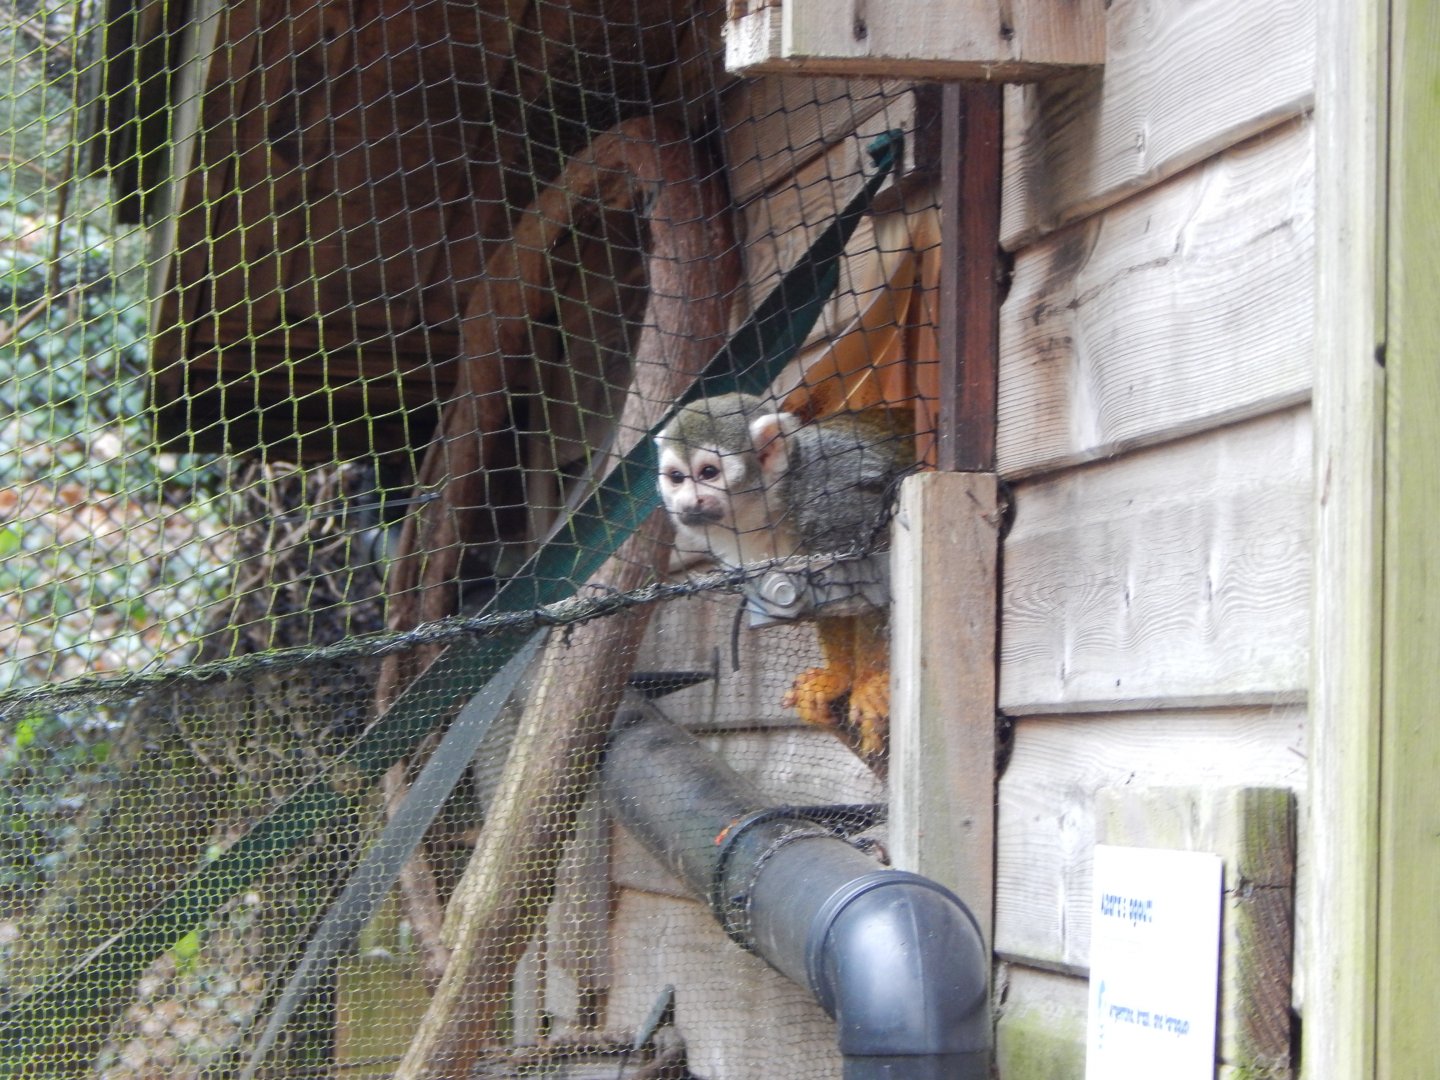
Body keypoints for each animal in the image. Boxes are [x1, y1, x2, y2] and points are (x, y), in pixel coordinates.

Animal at [655, 391, 913, 769]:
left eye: (708, 473)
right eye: (676, 477)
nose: (688, 502)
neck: (774, 503)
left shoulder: (835, 503)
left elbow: (870, 581)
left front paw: (871, 683)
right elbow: (826, 599)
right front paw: (839, 677)